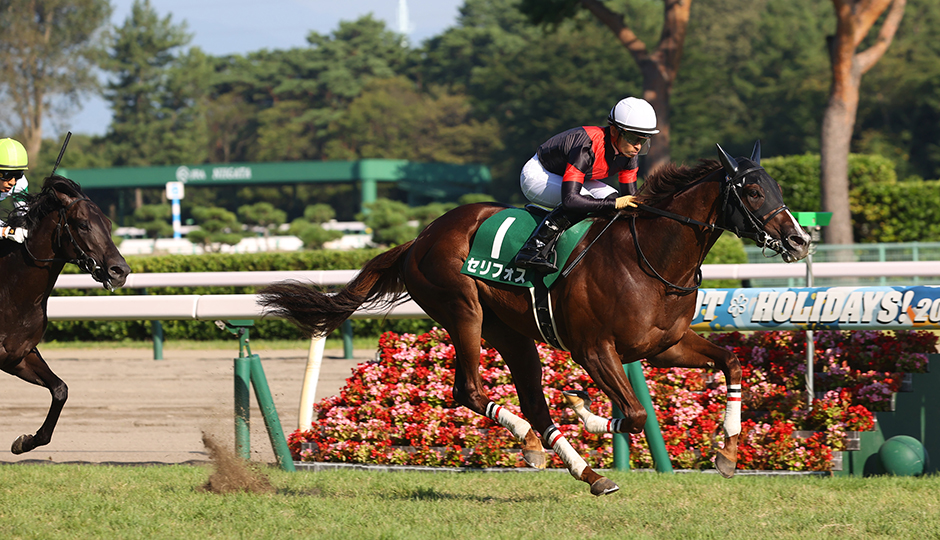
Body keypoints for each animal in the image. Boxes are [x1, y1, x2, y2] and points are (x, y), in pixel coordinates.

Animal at [0, 175, 130, 454]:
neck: (11, 292)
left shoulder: (18, 356)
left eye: (109, 224)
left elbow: (60, 390)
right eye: (83, 224)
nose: (120, 271)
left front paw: (25, 441)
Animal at [260, 142, 812, 494]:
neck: (649, 257)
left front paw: (728, 453)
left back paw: (578, 469)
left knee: (533, 402)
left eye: (777, 186)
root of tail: (419, 238)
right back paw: (534, 441)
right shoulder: (594, 349)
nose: (800, 240)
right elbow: (632, 412)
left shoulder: (664, 346)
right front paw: (586, 408)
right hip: (462, 309)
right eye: (753, 191)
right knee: (469, 390)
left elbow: (732, 363)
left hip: (512, 333)